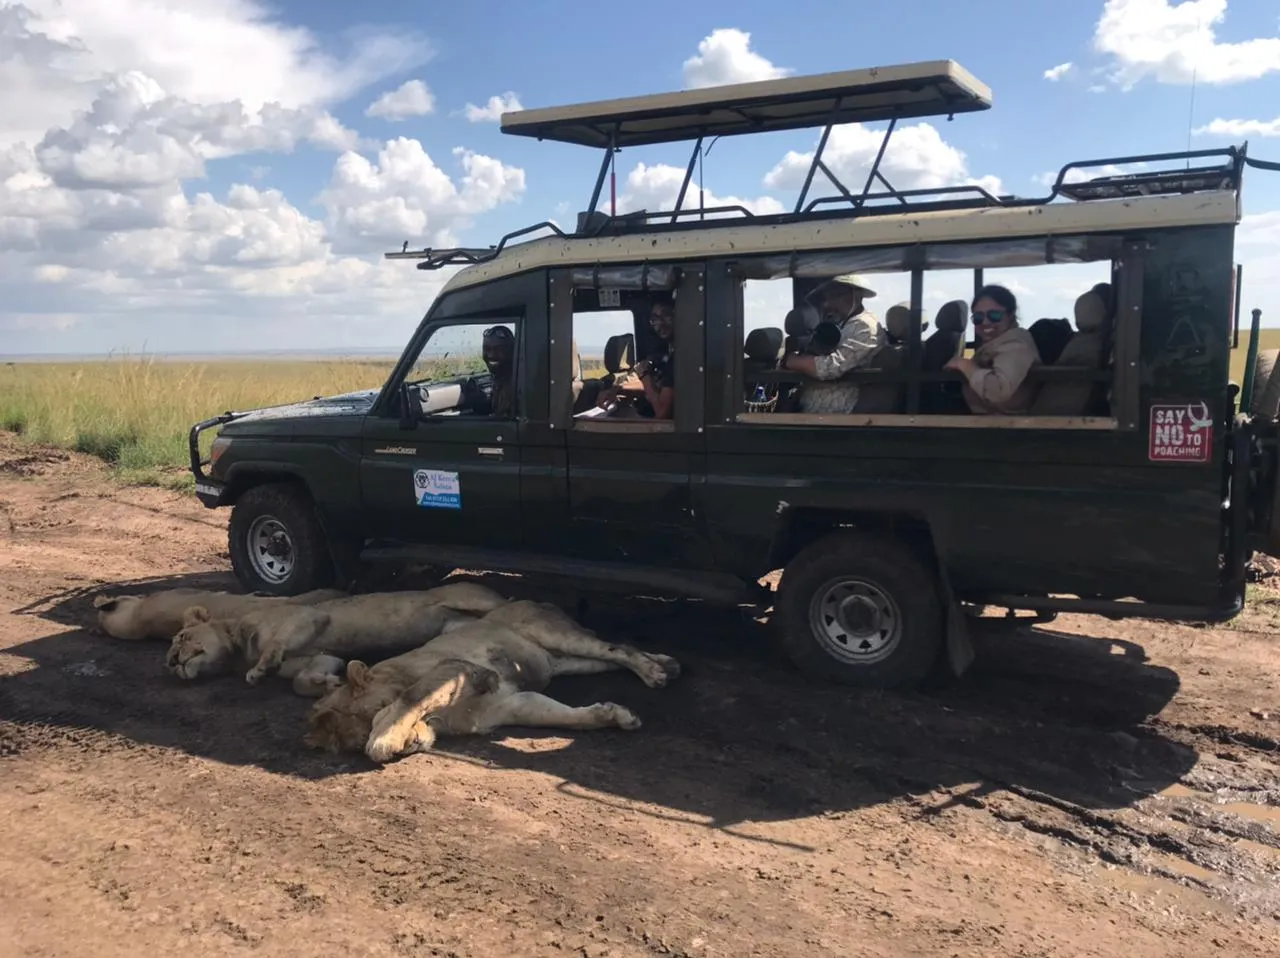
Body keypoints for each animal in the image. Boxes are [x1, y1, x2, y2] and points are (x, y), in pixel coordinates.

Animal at [167, 578, 506, 691]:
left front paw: (259, 670)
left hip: (475, 599)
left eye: (181, 637)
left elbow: (275, 643)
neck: (237, 650)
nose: (170, 663)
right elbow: (301, 680)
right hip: (455, 623)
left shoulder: (308, 616)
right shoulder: (322, 657)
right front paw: (328, 683)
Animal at [302, 599, 680, 763]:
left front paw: (383, 740)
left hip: (556, 635)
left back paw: (655, 673)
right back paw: (667, 663)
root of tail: (531, 598)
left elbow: (410, 696)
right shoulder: (510, 705)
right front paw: (616, 716)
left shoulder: (451, 667)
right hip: (566, 661)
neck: (441, 719)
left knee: (617, 648)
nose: (412, 743)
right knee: (613, 653)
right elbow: (568, 718)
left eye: (378, 712)